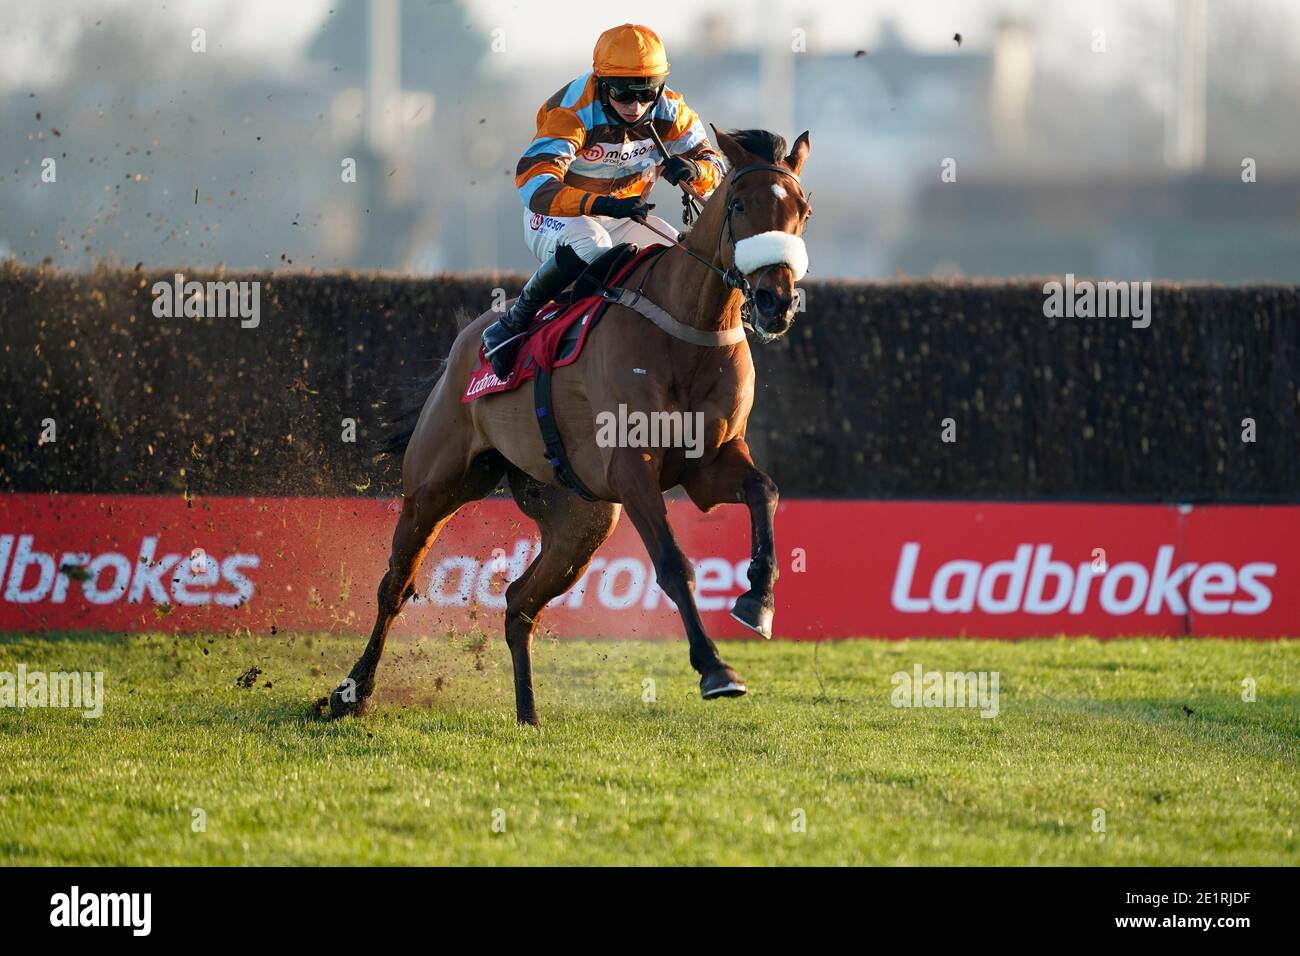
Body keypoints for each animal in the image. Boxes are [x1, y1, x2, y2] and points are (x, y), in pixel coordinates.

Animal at [322, 127, 811, 723]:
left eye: (803, 211)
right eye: (740, 206)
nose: (775, 301)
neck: (688, 330)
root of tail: (463, 343)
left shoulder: (710, 464)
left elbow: (764, 490)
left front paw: (757, 600)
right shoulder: (631, 469)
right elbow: (673, 565)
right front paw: (716, 668)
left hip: (581, 519)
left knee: (518, 602)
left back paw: (528, 713)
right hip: (438, 484)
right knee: (396, 585)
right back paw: (353, 692)